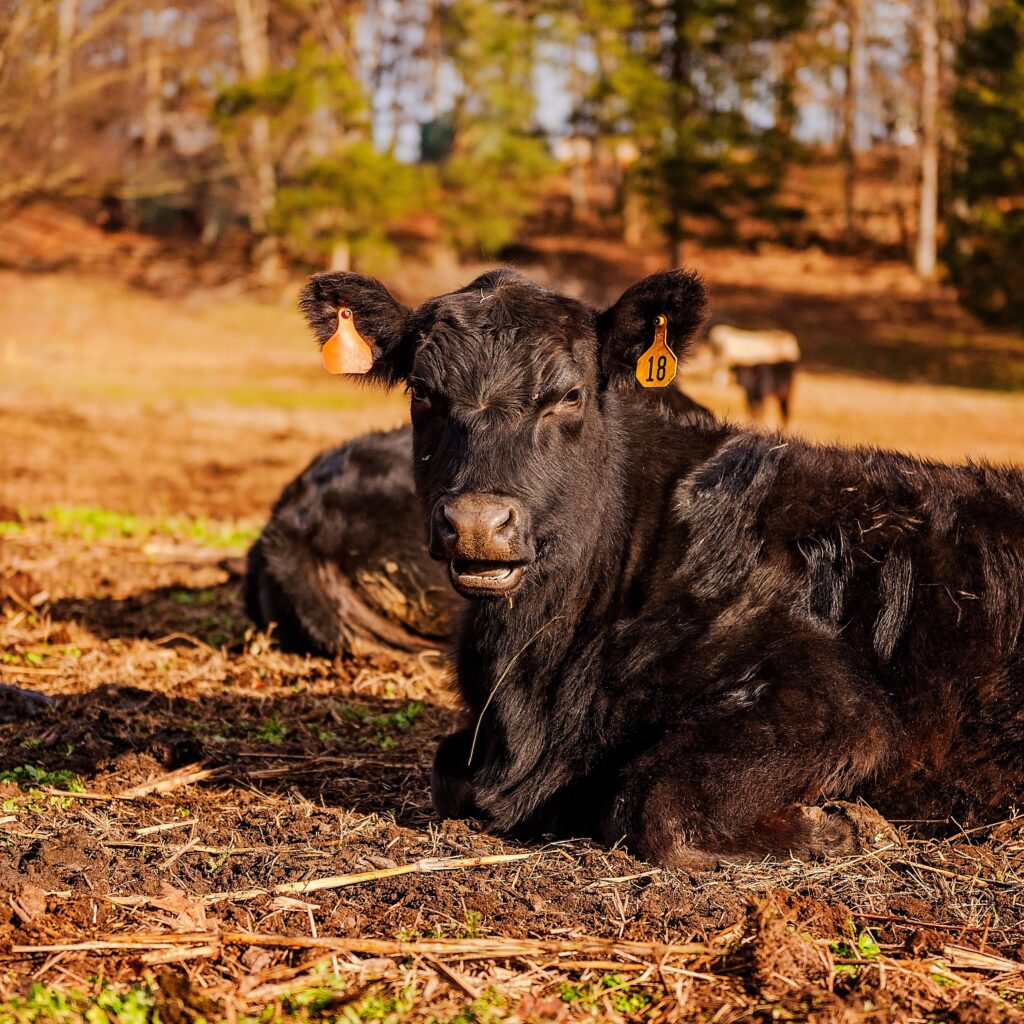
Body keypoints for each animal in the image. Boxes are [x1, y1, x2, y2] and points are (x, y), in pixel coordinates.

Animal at [294, 266, 1024, 868]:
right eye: (423, 392)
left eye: (569, 395)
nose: (476, 521)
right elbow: (449, 773)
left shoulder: (835, 704)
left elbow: (654, 804)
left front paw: (847, 827)